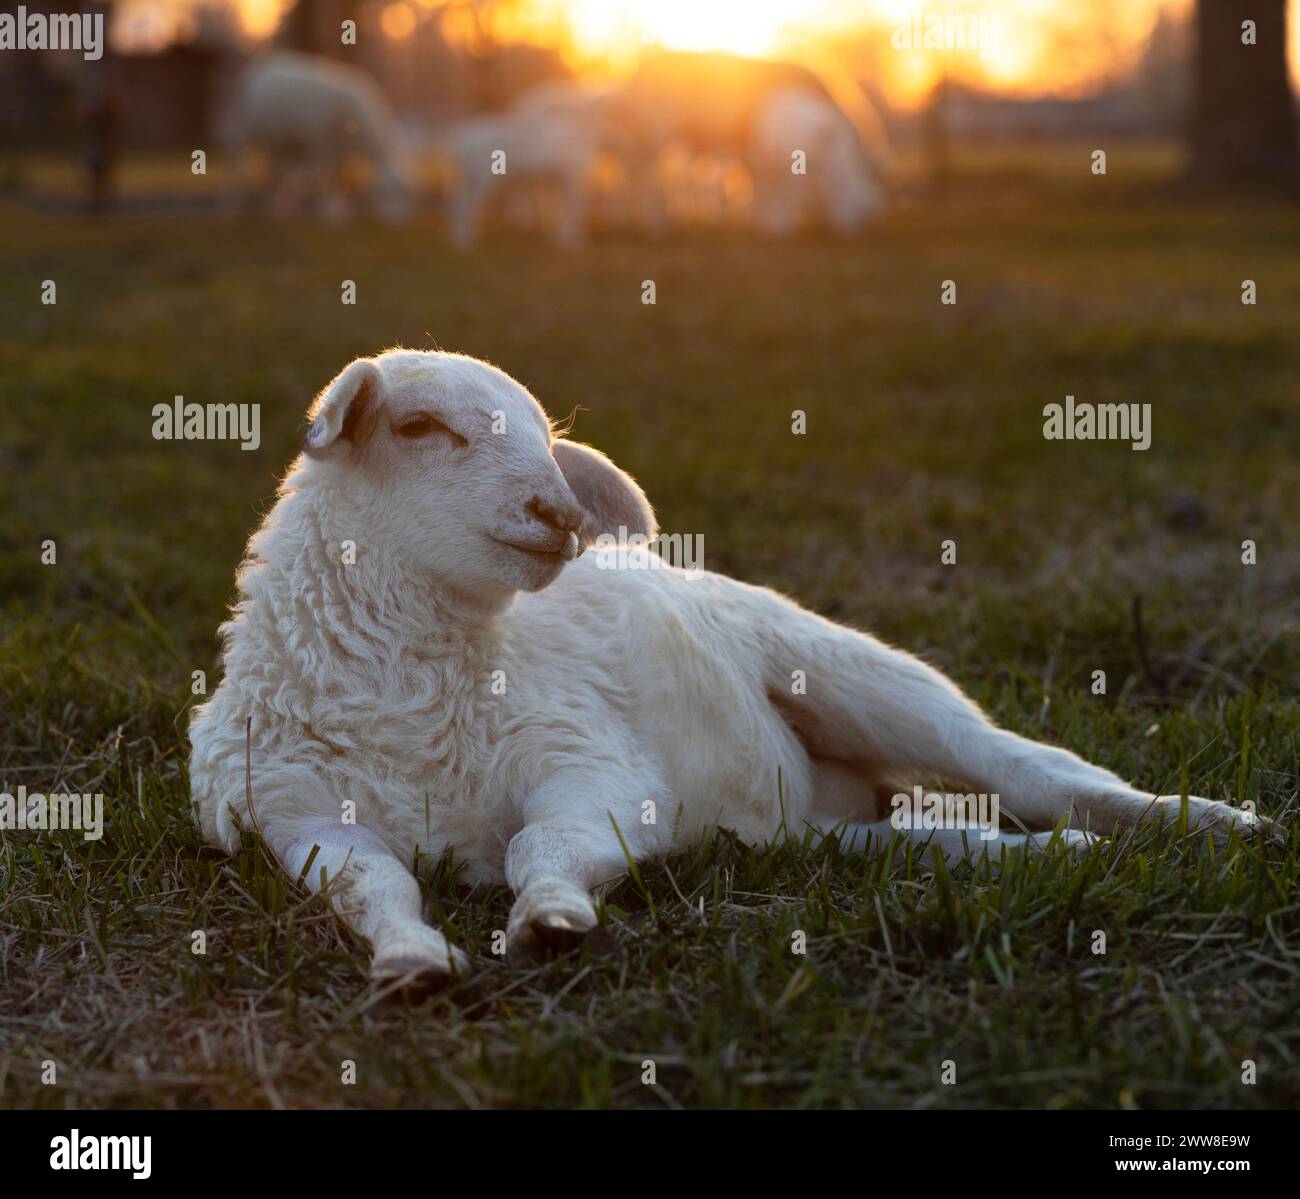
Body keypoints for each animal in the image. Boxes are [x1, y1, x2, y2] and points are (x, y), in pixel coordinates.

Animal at [188, 351, 1263, 988]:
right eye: (418, 428)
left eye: (546, 441)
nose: (561, 514)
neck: (415, 695)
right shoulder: (296, 813)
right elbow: (372, 888)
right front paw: (412, 960)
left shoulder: (591, 765)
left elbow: (545, 845)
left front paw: (552, 918)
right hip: (799, 827)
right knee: (907, 839)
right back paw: (1046, 857)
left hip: (859, 676)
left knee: (1030, 768)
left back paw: (1207, 825)